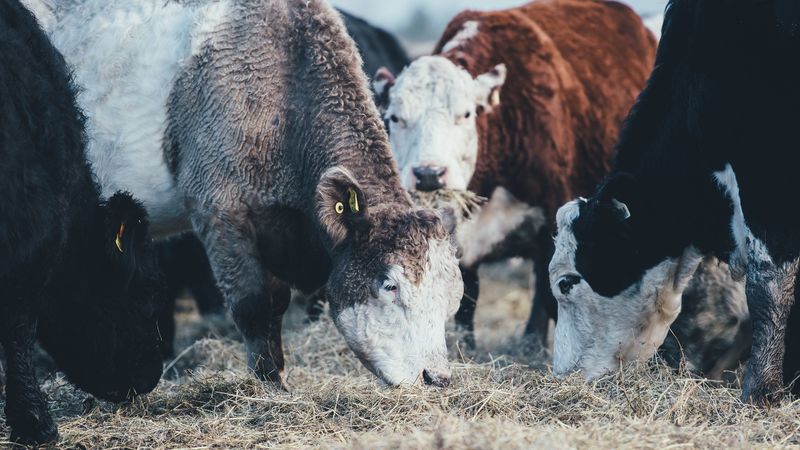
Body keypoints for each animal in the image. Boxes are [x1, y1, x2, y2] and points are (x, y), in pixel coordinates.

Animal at [46, 0, 463, 389]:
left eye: (451, 293)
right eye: (390, 285)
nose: (436, 376)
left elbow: (276, 304)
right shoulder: (220, 212)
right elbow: (254, 305)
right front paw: (270, 383)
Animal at [373, 0, 657, 345]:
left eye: (465, 114)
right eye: (395, 117)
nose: (429, 174)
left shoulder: (553, 220)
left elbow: (550, 293)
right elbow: (466, 296)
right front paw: (465, 345)